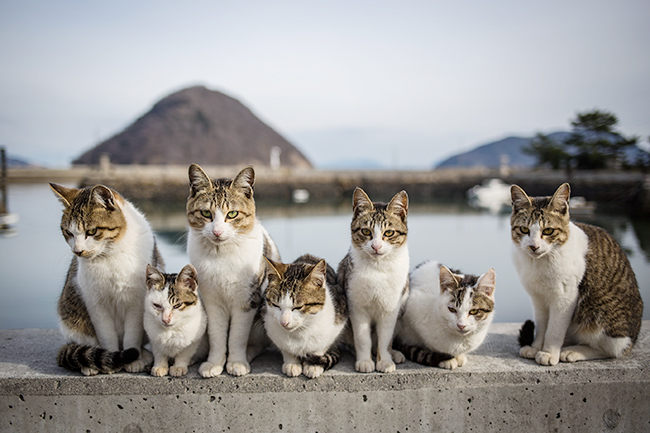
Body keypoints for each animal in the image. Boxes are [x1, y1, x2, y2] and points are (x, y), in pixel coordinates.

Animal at [49, 182, 162, 374]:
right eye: (68, 233)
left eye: (91, 231)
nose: (77, 251)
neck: (111, 253)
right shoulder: (96, 303)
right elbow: (107, 336)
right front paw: (111, 361)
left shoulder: (136, 302)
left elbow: (132, 335)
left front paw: (134, 360)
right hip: (73, 322)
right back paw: (90, 364)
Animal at [186, 164, 280, 376]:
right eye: (206, 214)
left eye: (232, 214)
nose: (217, 232)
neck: (221, 254)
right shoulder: (211, 301)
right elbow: (216, 335)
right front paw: (214, 363)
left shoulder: (246, 300)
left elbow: (237, 336)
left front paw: (236, 362)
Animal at [336, 186, 408, 372]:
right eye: (366, 231)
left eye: (388, 232)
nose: (376, 246)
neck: (377, 268)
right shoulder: (356, 307)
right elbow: (362, 338)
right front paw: (364, 361)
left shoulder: (391, 309)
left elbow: (385, 338)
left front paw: (385, 361)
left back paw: (394, 354)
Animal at [508, 182, 640, 364]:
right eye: (523, 229)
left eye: (548, 231)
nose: (533, 246)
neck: (540, 261)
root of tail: (633, 339)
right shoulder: (538, 298)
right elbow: (542, 325)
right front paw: (536, 347)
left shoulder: (566, 296)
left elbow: (554, 329)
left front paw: (549, 352)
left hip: (601, 318)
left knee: (610, 350)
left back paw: (574, 351)